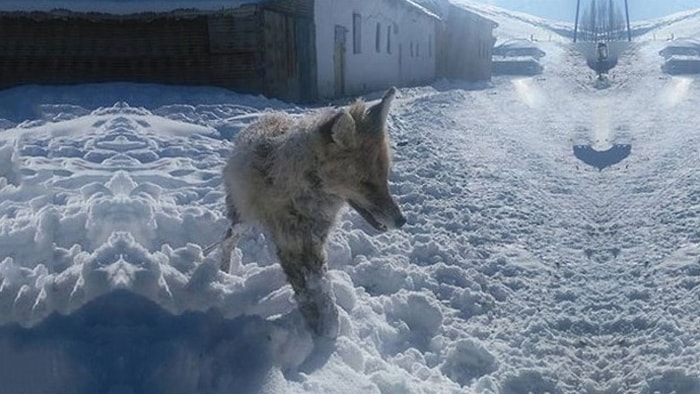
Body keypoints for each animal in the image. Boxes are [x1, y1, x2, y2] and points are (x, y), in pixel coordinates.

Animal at [219, 87, 404, 338]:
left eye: (385, 177)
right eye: (365, 183)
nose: (402, 220)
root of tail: (267, 116)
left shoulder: (315, 244)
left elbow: (322, 290)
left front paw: (330, 330)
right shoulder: (289, 244)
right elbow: (307, 295)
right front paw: (322, 335)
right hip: (242, 217)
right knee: (228, 239)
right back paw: (223, 273)